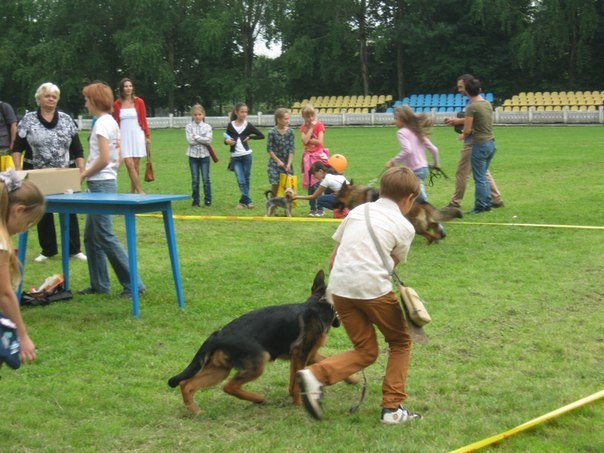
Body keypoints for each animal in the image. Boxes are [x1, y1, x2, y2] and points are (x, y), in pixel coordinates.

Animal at [168, 268, 354, 414]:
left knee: (186, 384)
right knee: (229, 386)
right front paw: (299, 404)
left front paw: (352, 379)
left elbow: (328, 362)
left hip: (219, 371)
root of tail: (218, 335)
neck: (319, 303)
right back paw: (258, 398)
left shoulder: (309, 354)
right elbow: (296, 382)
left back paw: (195, 410)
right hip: (258, 361)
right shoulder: (301, 354)